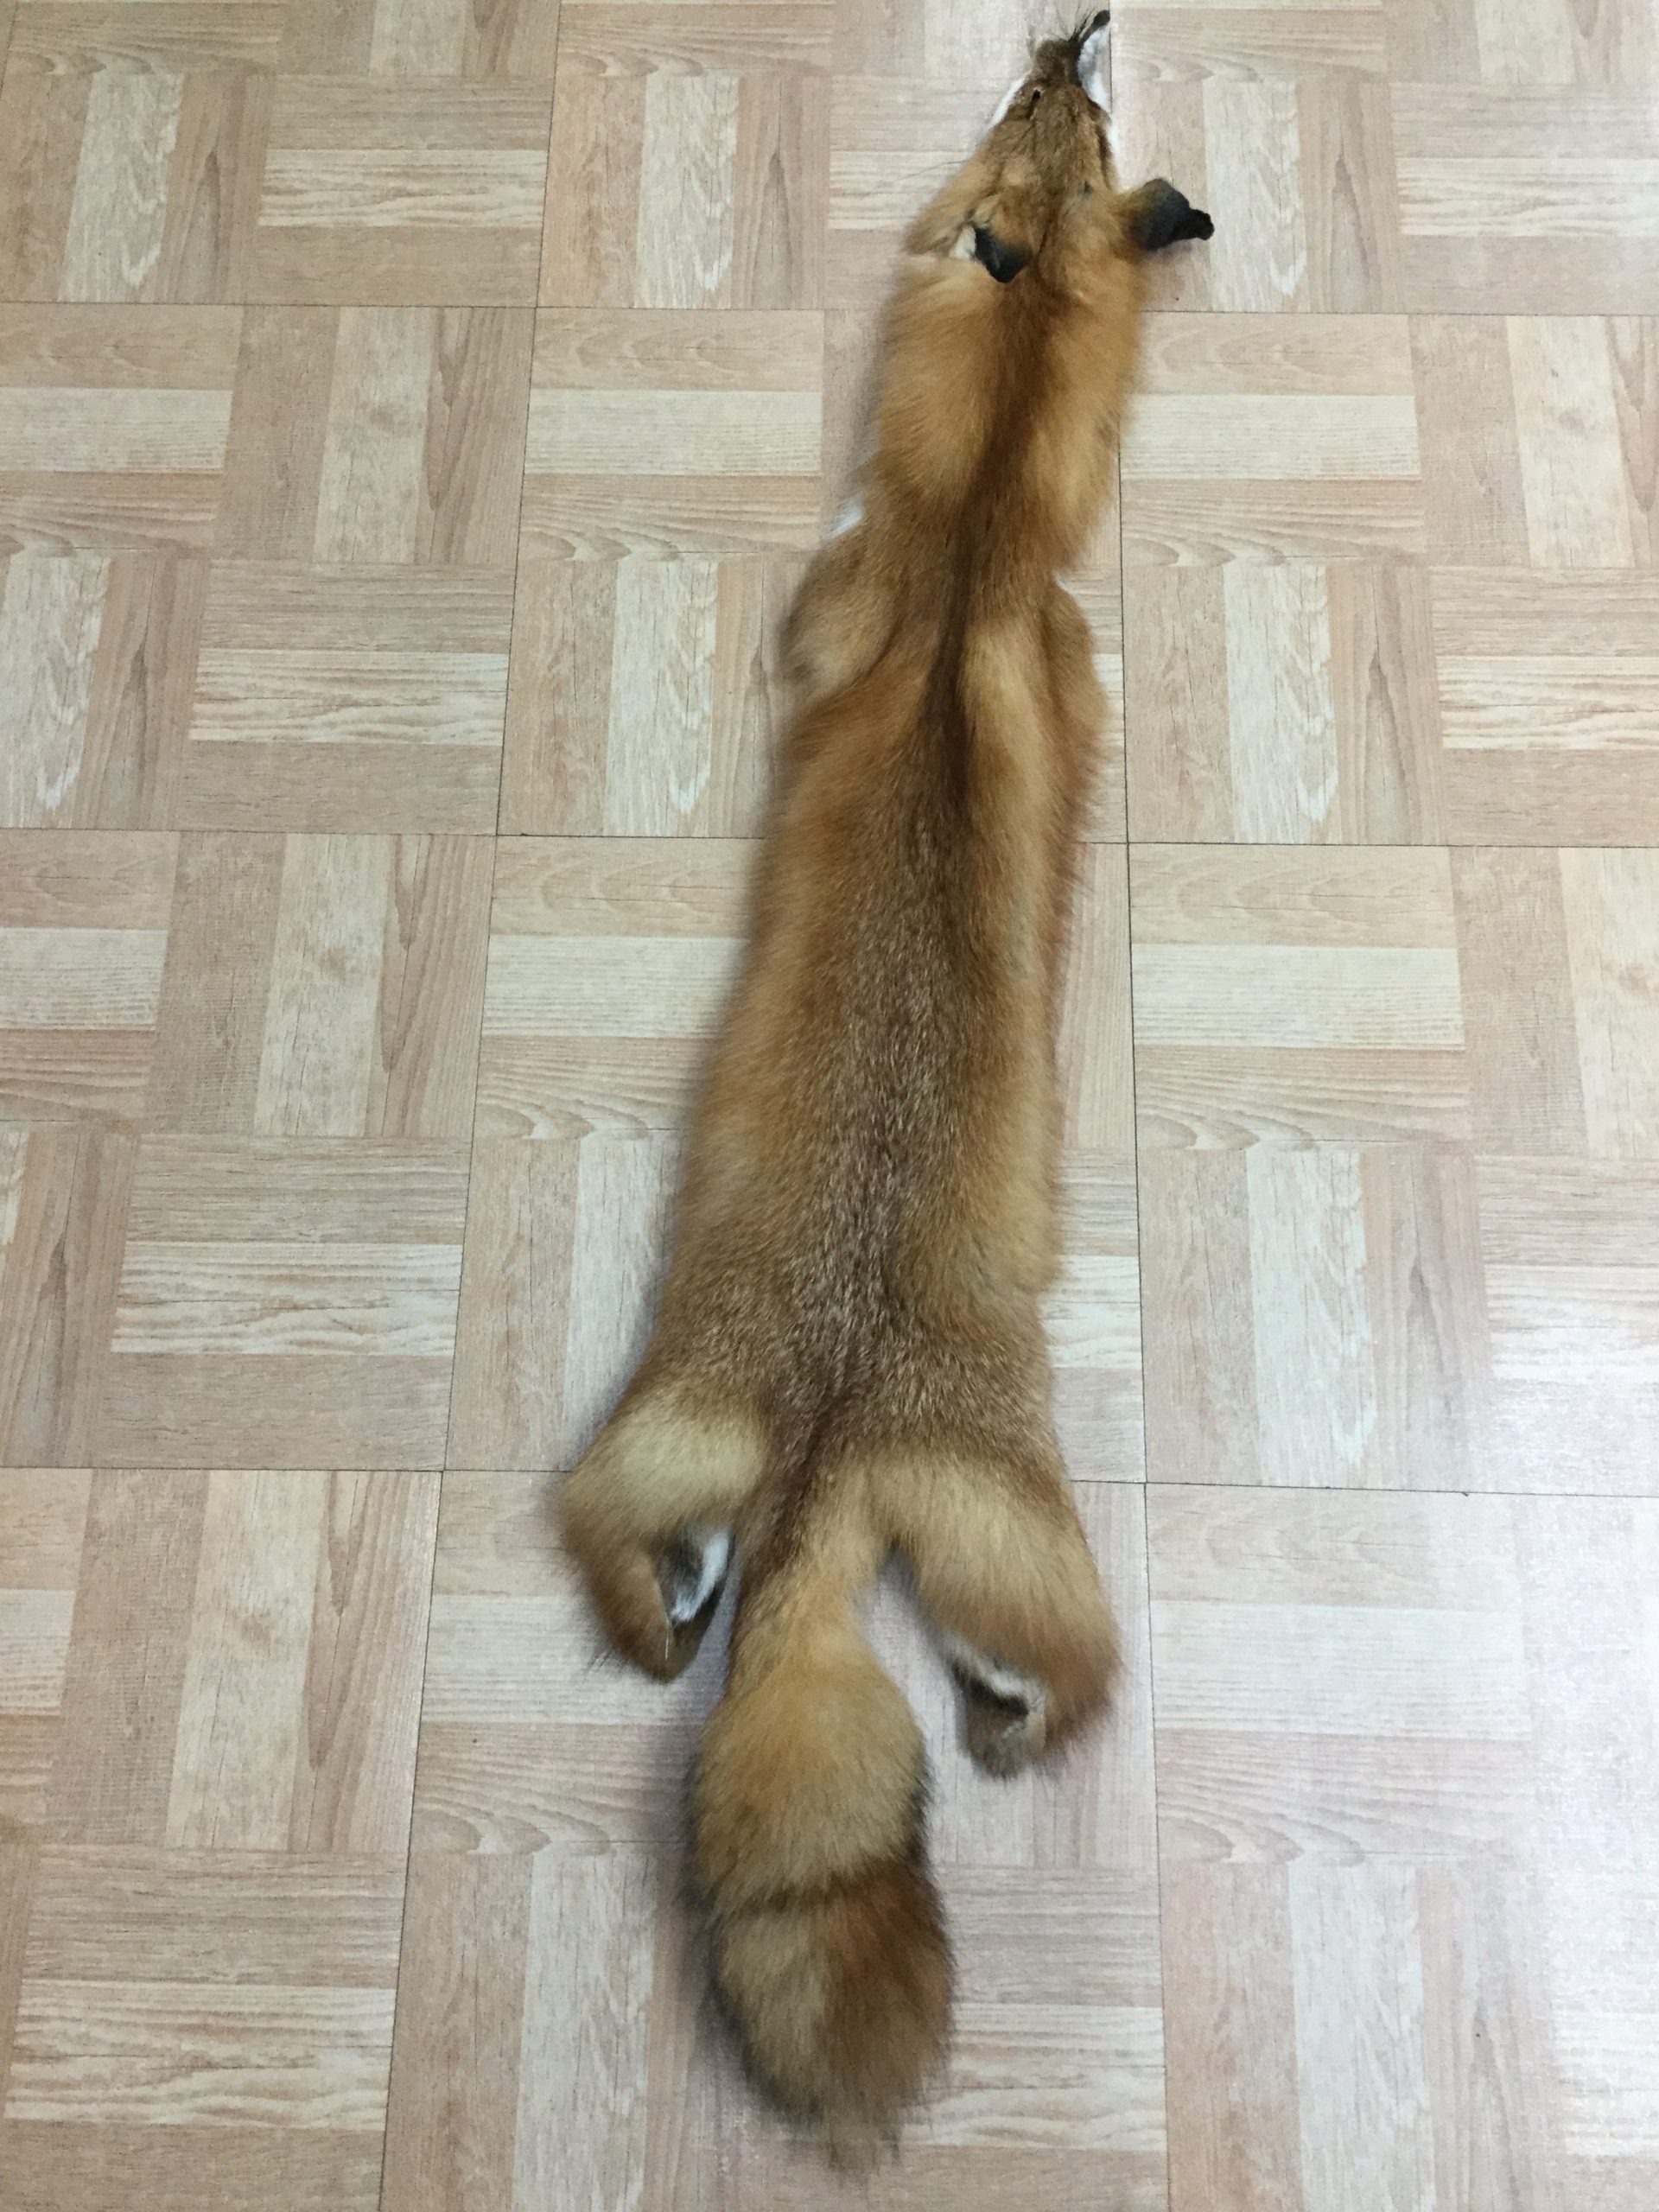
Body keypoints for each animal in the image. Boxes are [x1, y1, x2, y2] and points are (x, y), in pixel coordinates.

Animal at [561, 12, 1211, 2154]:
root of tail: (830, 1441)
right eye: (1043, 113)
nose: (1071, 26)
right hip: (936, 1522)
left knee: (647, 1588)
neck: (980, 537)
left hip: (693, 1453)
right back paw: (981, 1734)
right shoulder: (955, 606)